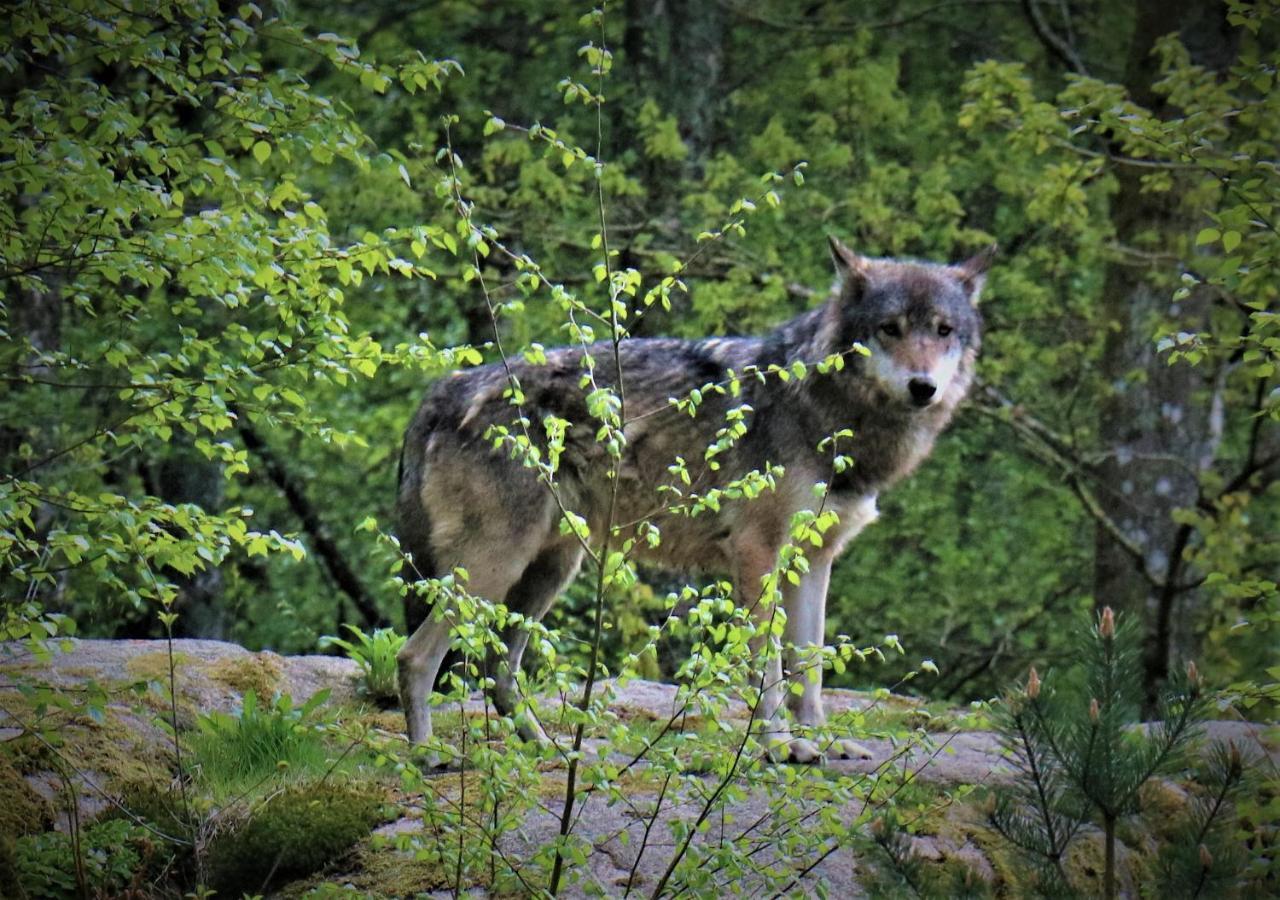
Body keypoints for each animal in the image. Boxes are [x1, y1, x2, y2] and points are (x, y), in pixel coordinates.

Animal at [394, 238, 993, 757]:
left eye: (943, 330)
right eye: (890, 329)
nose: (923, 387)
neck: (825, 412)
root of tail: (445, 388)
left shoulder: (814, 560)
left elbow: (812, 670)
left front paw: (819, 745)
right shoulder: (758, 553)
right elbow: (769, 669)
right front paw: (780, 748)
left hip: (549, 571)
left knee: (499, 672)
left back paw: (549, 751)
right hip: (495, 568)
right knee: (416, 657)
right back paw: (425, 758)